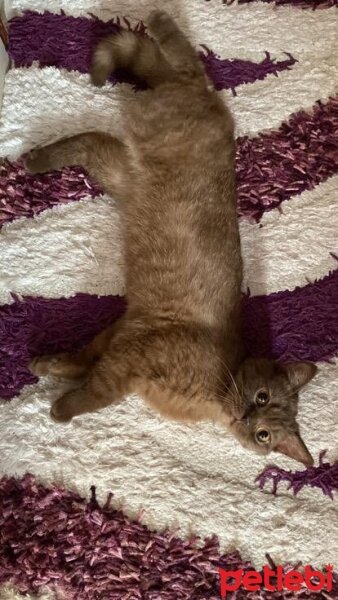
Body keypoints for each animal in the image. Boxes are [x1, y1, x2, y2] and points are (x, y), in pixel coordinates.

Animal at [26, 11, 316, 466]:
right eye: (263, 398)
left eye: (265, 435)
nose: (248, 418)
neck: (216, 392)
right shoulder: (133, 356)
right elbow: (94, 393)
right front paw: (61, 407)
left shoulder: (125, 333)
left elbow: (83, 361)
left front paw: (49, 367)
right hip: (150, 132)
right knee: (179, 61)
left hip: (121, 170)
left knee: (92, 139)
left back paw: (33, 159)